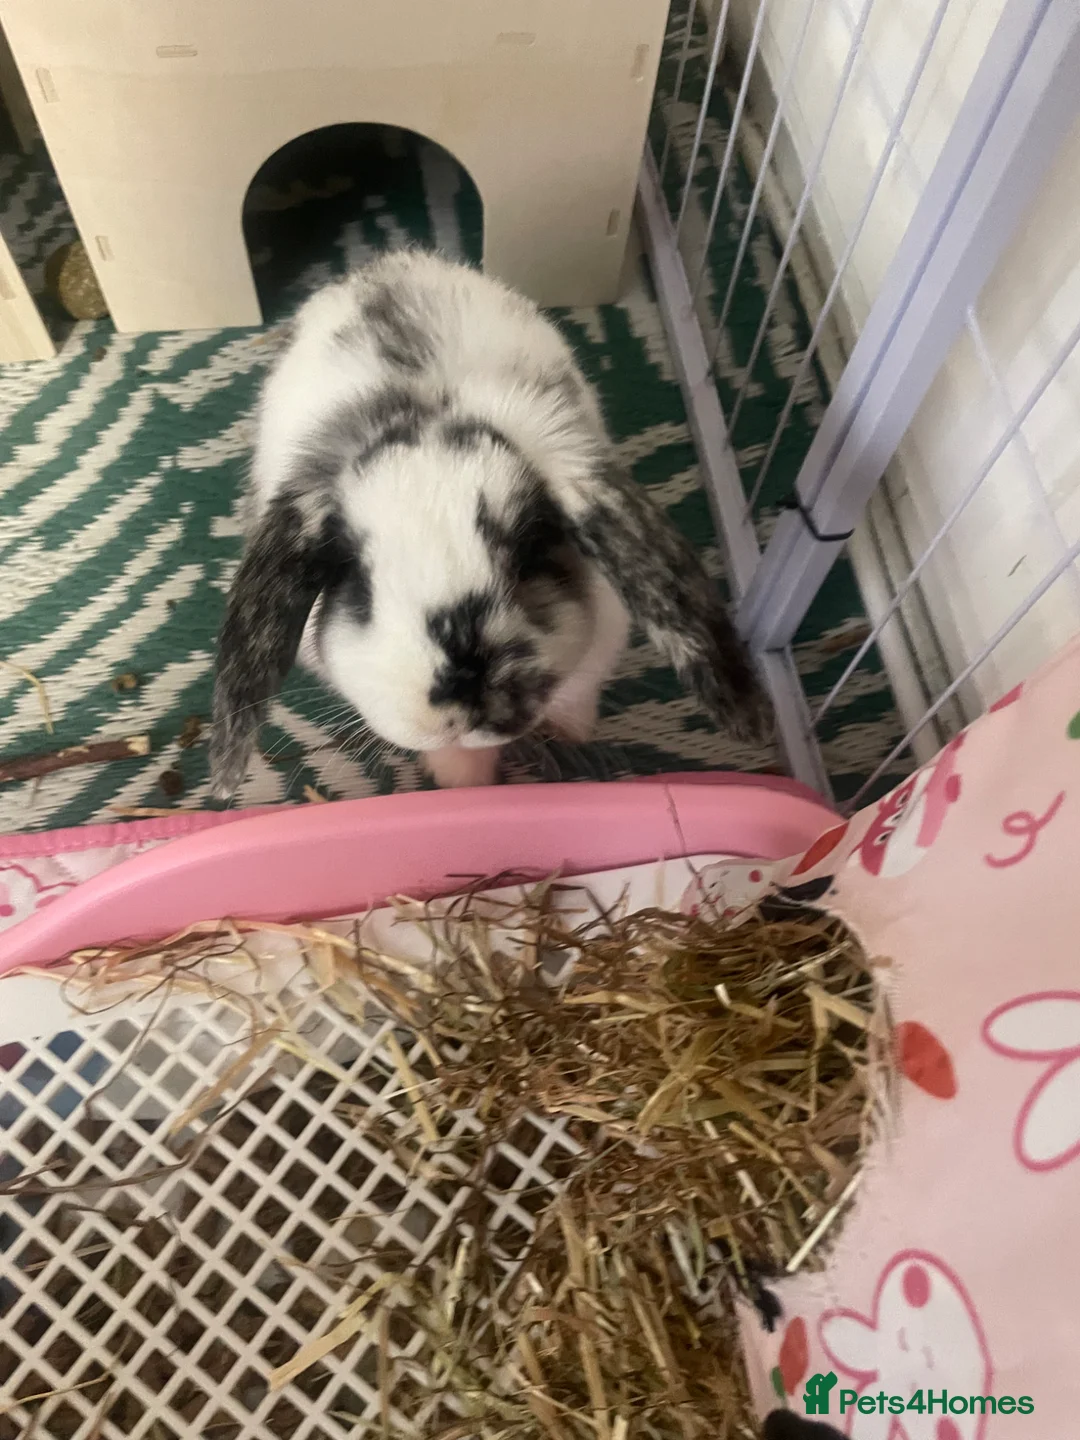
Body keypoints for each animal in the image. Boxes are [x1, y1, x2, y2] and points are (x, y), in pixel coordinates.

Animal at [209, 250, 772, 796]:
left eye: (529, 558)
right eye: (359, 588)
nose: (463, 705)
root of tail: (378, 263)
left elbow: (574, 696)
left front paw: (568, 737)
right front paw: (460, 780)